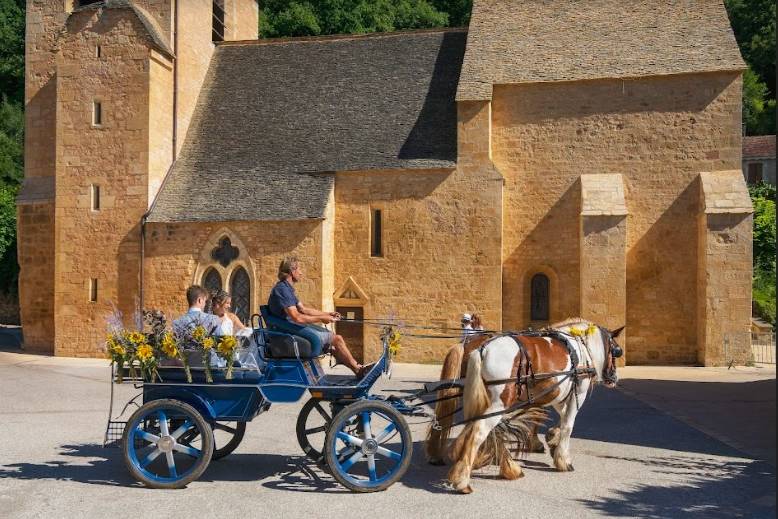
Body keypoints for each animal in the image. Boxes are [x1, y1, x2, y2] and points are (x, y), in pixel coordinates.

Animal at [440, 318, 620, 494]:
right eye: (616, 351)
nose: (613, 377)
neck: (578, 348)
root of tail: (482, 350)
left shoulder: (558, 392)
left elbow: (561, 416)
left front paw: (553, 438)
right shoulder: (578, 393)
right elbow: (568, 425)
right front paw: (563, 460)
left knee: (476, 428)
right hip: (499, 403)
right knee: (479, 432)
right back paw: (464, 480)